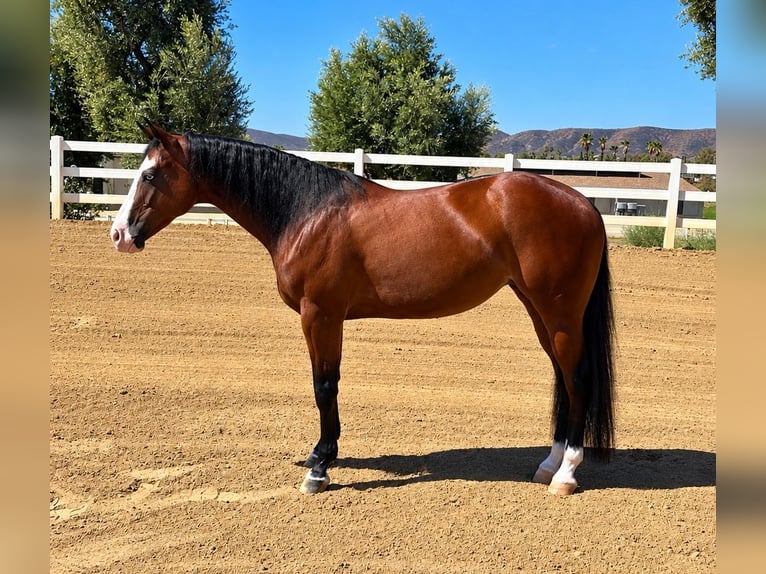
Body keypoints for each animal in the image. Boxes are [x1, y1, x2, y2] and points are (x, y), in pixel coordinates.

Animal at [110, 124, 615, 496]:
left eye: (150, 175)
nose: (119, 234)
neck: (306, 212)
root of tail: (585, 204)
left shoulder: (320, 315)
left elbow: (324, 386)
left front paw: (319, 466)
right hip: (539, 311)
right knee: (563, 377)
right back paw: (548, 464)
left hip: (559, 314)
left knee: (577, 379)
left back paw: (566, 475)